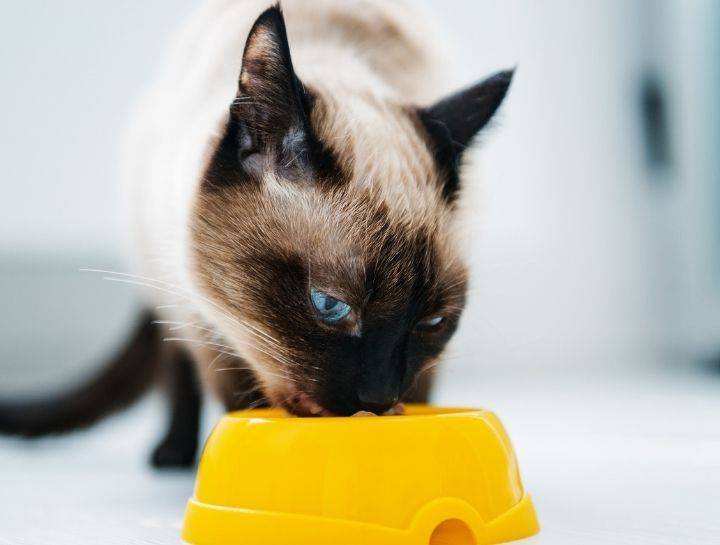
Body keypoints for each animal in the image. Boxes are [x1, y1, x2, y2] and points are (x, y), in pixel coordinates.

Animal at [0, 1, 512, 468]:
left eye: (433, 322)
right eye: (330, 306)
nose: (378, 397)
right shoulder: (209, 321)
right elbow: (235, 400)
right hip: (165, 277)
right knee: (176, 369)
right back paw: (172, 455)